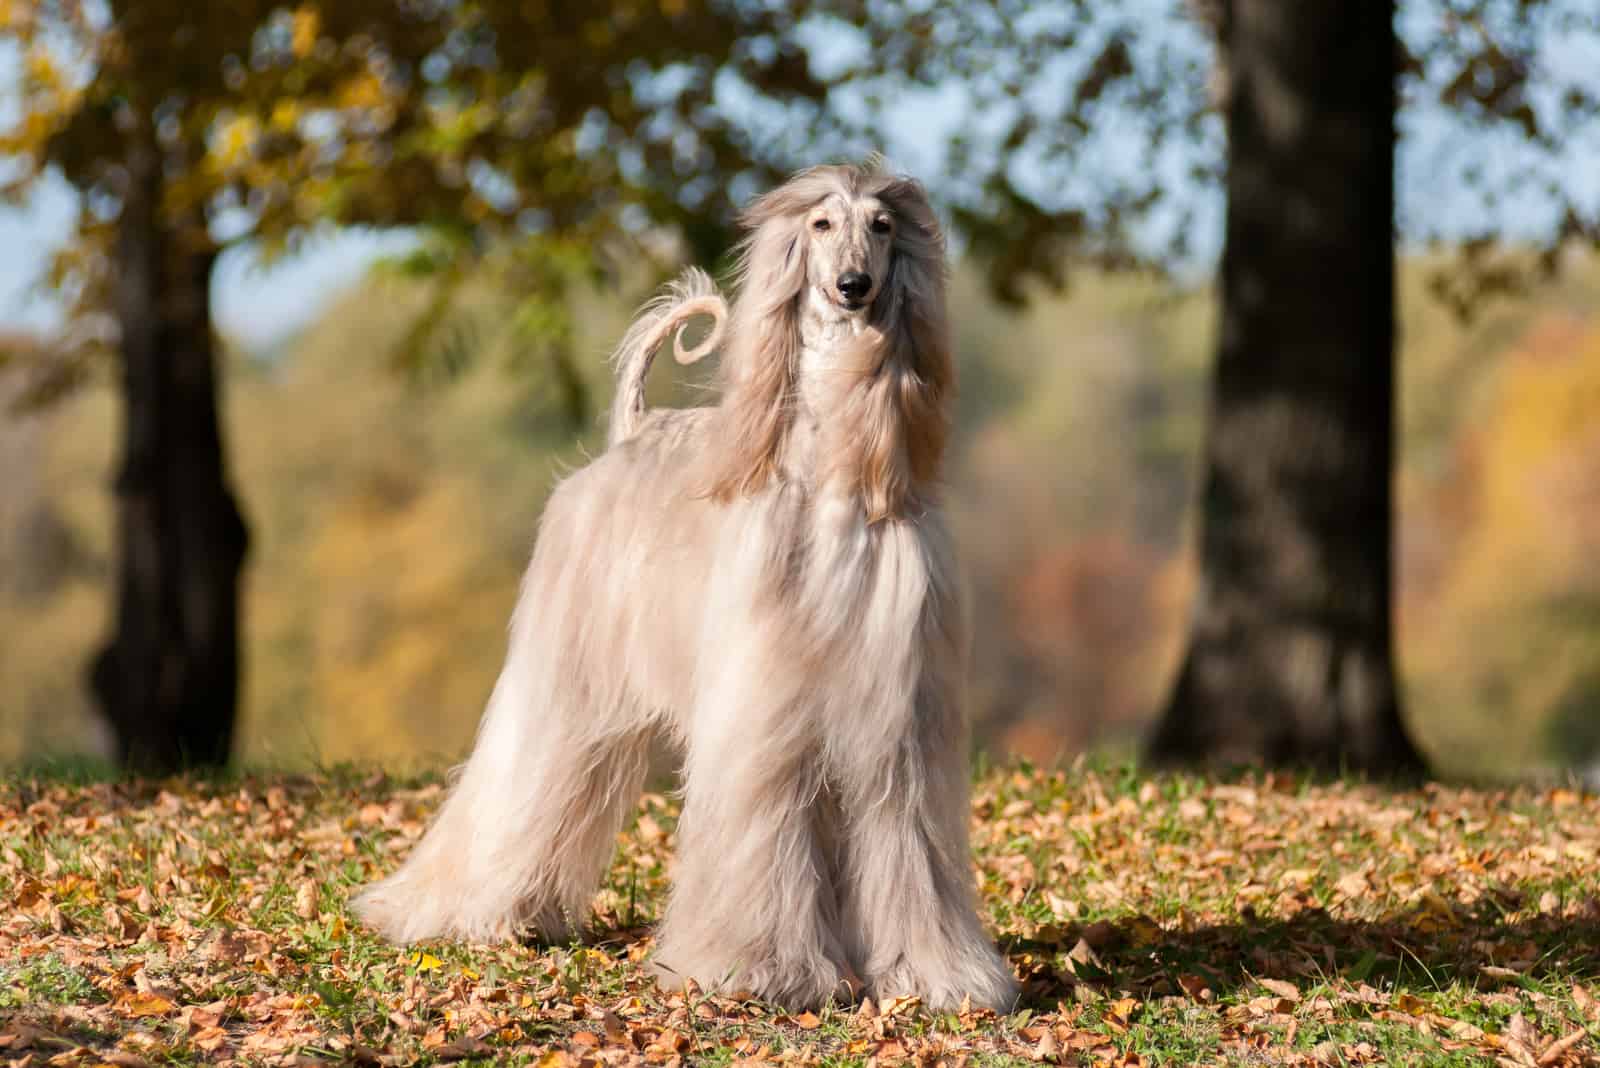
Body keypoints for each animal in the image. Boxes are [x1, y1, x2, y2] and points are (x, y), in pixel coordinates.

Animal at [356, 163, 1017, 1016]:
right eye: (821, 226)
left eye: (882, 226)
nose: (853, 287)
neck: (833, 473)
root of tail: (635, 432)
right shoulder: (763, 708)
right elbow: (759, 826)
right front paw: (755, 969)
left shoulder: (895, 722)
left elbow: (904, 842)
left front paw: (930, 976)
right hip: (565, 670)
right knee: (520, 773)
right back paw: (455, 910)